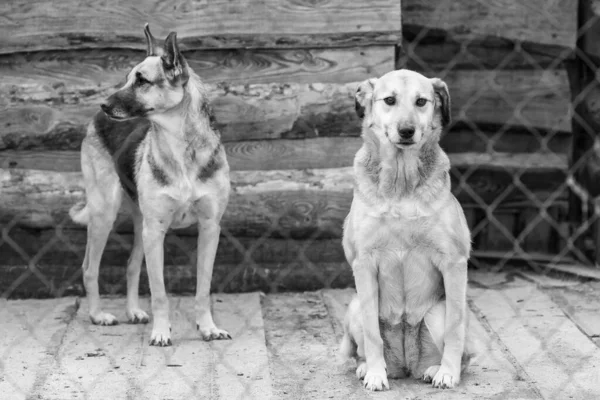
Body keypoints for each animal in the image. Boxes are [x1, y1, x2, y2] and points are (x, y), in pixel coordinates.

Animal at [69, 23, 231, 346]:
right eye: (127, 78)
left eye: (141, 81)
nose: (103, 105)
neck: (181, 147)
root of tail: (95, 120)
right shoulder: (156, 231)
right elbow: (159, 293)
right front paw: (161, 332)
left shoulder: (209, 228)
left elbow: (203, 288)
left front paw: (207, 328)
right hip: (106, 213)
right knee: (89, 268)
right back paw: (98, 315)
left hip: (140, 224)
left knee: (131, 265)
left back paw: (133, 311)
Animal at [340, 69, 472, 390]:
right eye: (389, 100)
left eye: (421, 101)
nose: (407, 131)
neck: (401, 185)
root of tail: (408, 364)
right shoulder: (364, 264)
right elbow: (372, 335)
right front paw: (376, 373)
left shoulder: (454, 263)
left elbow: (455, 329)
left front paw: (448, 373)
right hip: (355, 306)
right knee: (363, 346)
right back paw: (369, 367)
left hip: (436, 313)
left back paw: (435, 369)